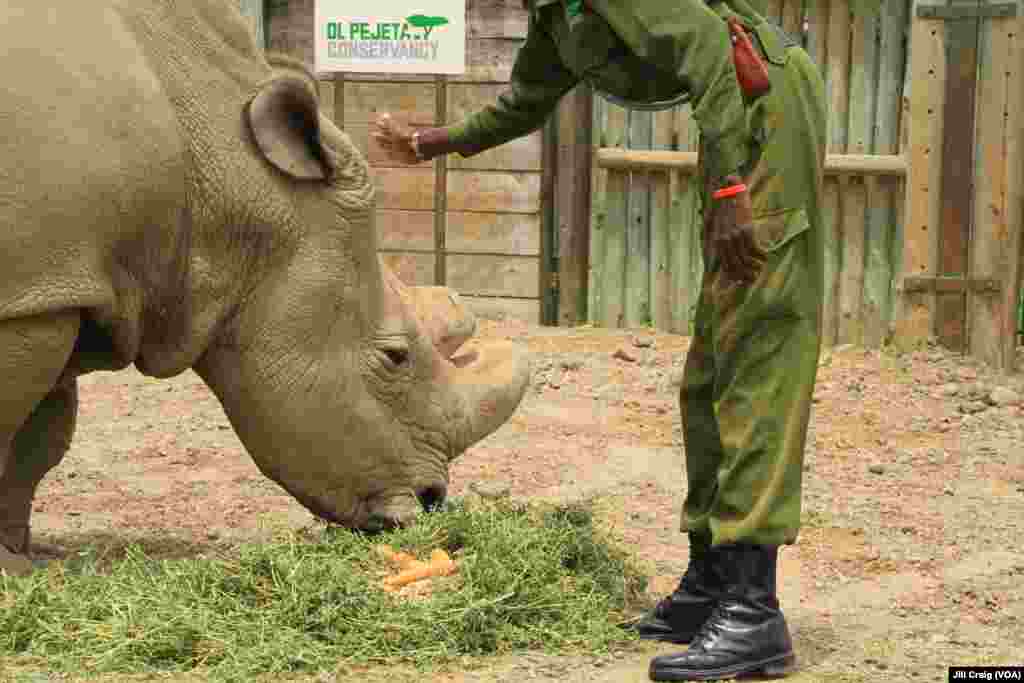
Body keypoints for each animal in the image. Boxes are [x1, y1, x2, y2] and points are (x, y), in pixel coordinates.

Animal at [0, 0, 531, 576]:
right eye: (395, 357)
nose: (432, 500)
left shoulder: (61, 283)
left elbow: (43, 436)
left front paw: (20, 561)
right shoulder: (38, 293)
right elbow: (14, 419)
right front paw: (11, 569)